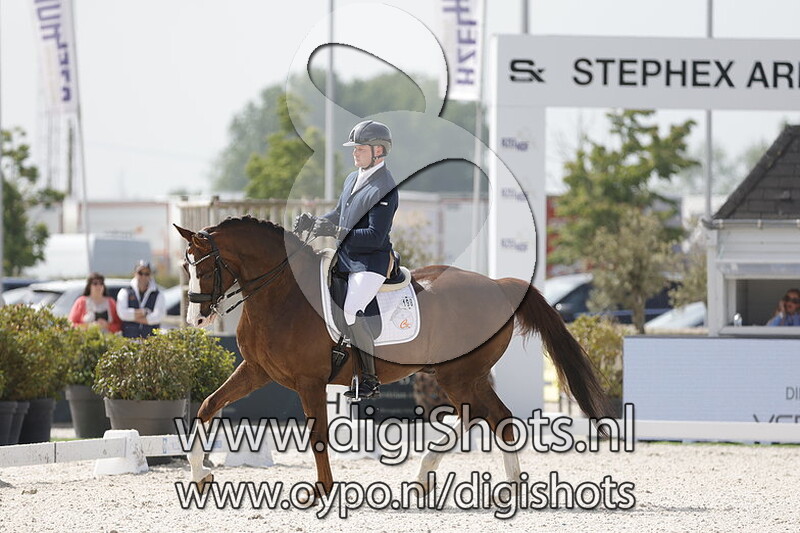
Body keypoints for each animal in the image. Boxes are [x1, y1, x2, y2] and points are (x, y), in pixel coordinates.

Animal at [175, 216, 610, 497]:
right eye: (185, 266)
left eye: (207, 268)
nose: (196, 318)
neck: (283, 294)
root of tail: (501, 286)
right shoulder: (256, 371)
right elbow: (208, 407)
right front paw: (200, 476)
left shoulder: (310, 382)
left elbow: (318, 436)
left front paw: (323, 491)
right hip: (462, 376)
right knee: (484, 418)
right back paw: (448, 480)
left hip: (459, 375)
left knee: (486, 418)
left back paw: (489, 484)